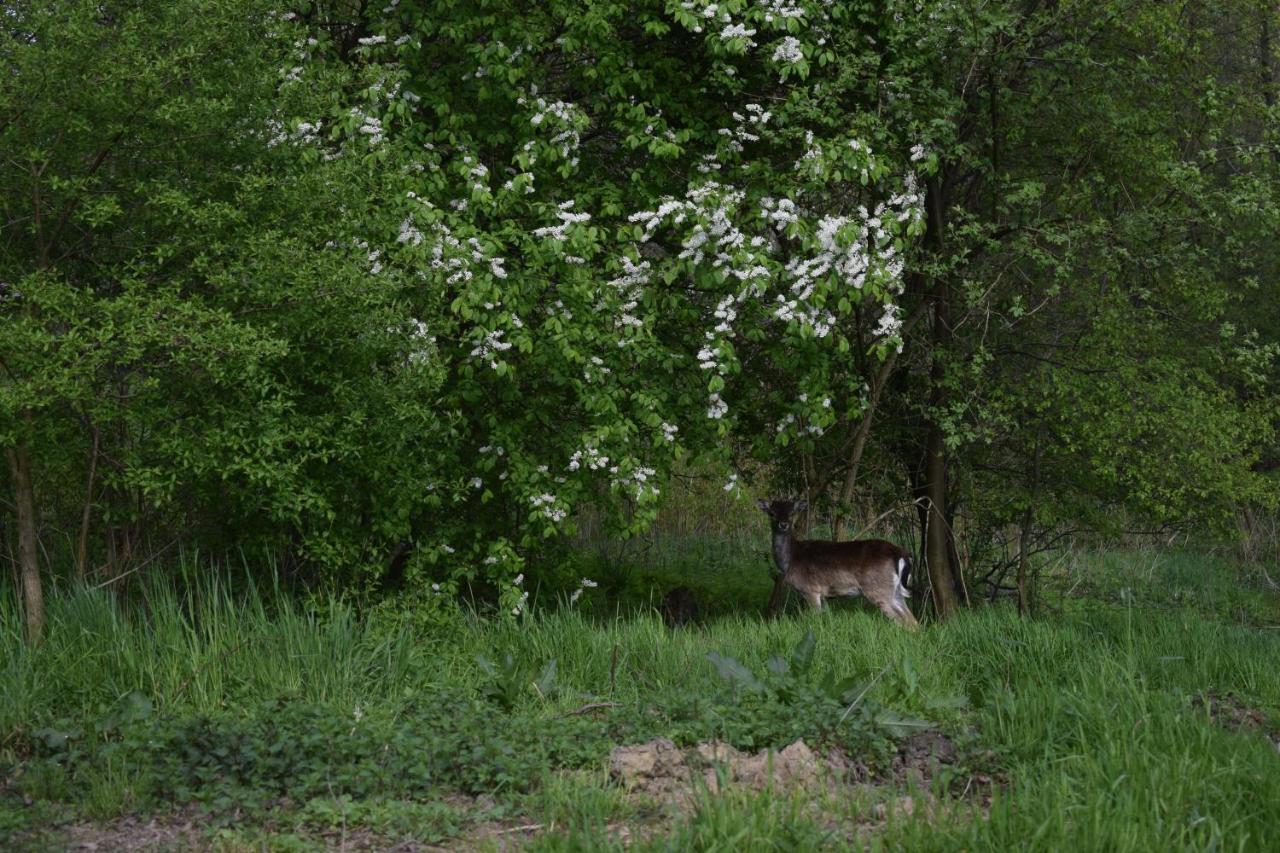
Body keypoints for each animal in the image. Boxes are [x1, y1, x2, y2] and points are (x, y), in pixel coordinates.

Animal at [752, 499, 916, 625]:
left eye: (792, 513)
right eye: (772, 513)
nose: (783, 524)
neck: (790, 560)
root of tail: (901, 553)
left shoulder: (811, 589)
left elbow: (814, 620)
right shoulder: (823, 594)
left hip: (879, 589)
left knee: (904, 621)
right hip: (895, 591)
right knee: (913, 621)